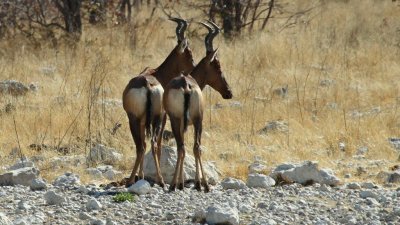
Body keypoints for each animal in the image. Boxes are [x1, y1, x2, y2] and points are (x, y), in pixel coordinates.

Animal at [122, 17, 196, 187]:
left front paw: (141, 176)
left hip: (138, 119)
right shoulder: (158, 118)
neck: (157, 73)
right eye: (189, 53)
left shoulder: (151, 119)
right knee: (150, 144)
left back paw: (139, 179)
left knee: (144, 145)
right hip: (149, 118)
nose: (193, 69)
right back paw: (156, 180)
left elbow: (147, 144)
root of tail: (147, 83)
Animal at [162, 21, 231, 192]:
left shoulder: (182, 122)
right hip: (196, 119)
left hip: (181, 120)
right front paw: (186, 183)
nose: (228, 92)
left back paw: (176, 185)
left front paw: (181, 183)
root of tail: (185, 84)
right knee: (194, 147)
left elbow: (183, 148)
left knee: (184, 147)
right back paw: (202, 185)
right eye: (217, 66)